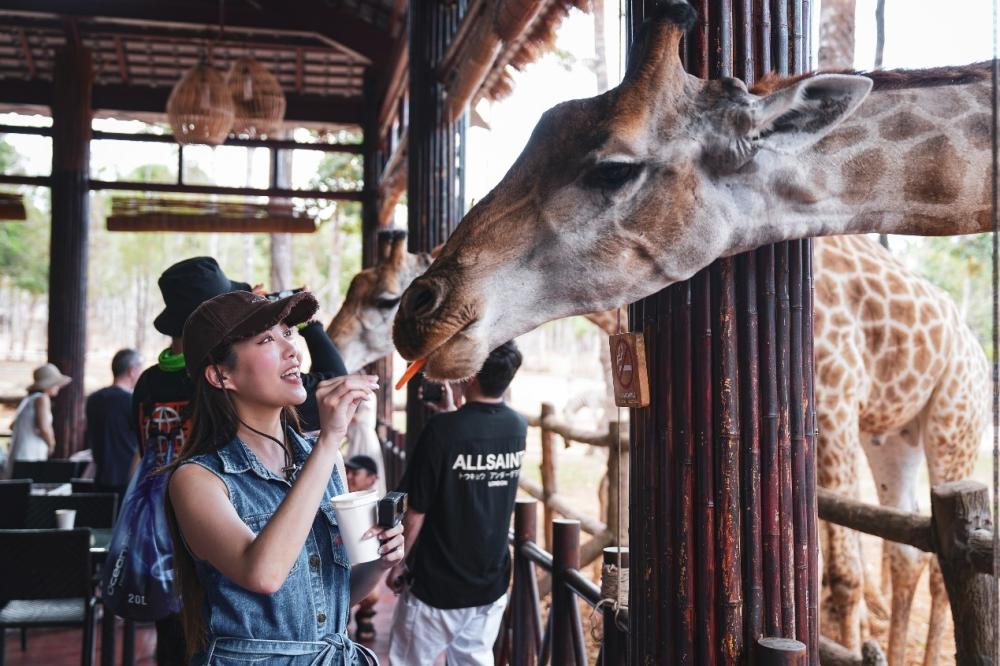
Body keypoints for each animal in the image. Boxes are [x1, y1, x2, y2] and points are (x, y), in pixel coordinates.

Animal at [390, 1, 992, 660]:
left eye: (613, 170)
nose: (417, 314)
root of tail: (971, 345)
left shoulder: (833, 402)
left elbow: (842, 572)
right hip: (895, 437)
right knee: (910, 555)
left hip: (955, 419)